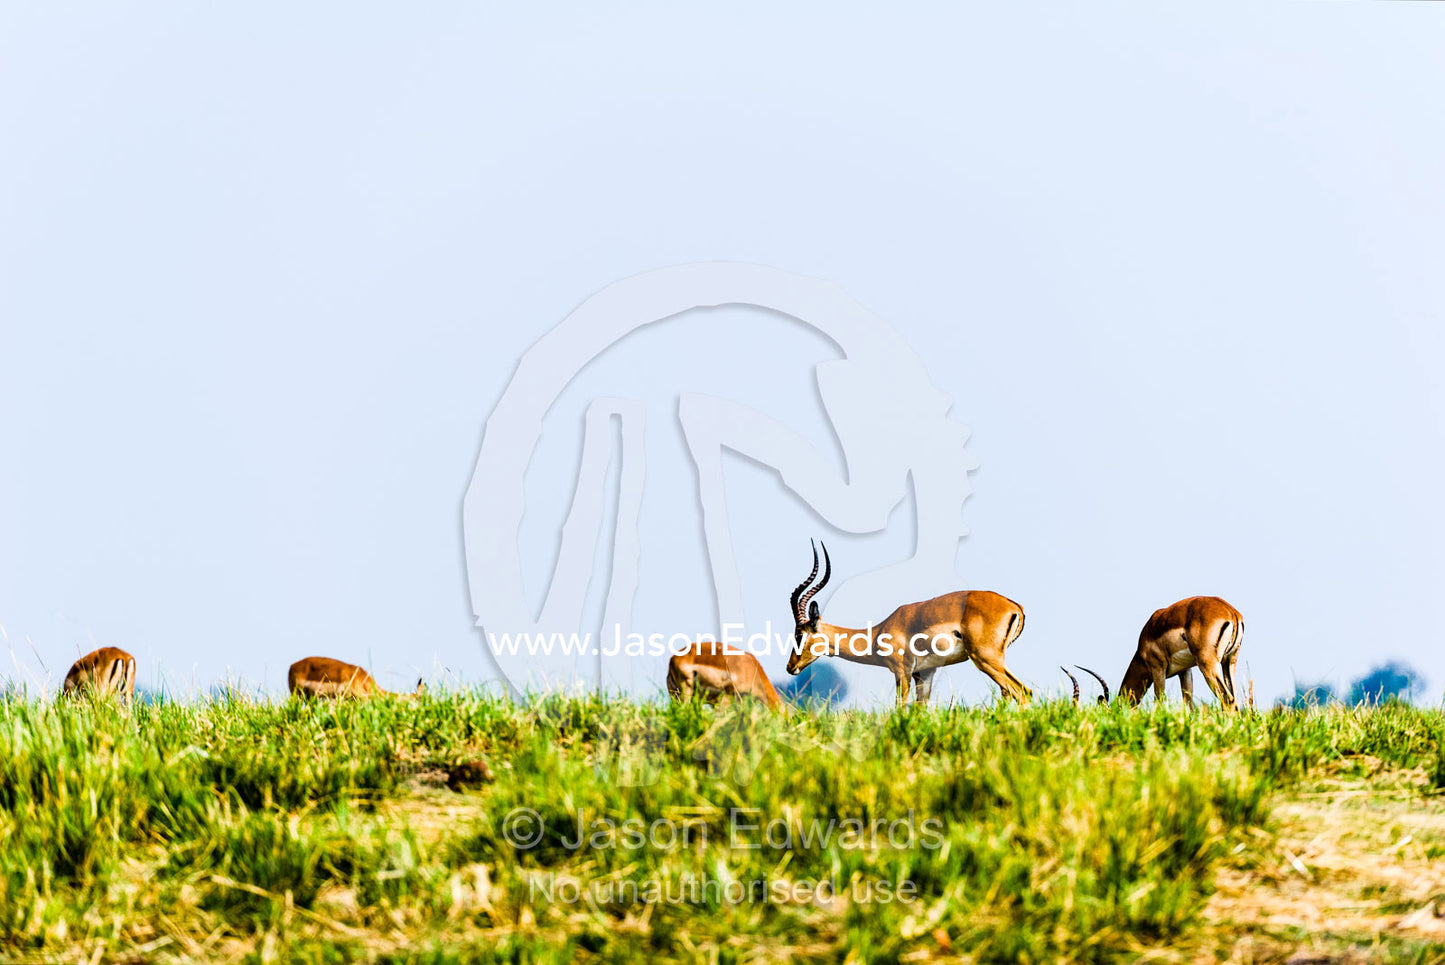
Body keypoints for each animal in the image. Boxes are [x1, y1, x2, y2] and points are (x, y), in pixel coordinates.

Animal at [784, 541, 1030, 707]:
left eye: (799, 634)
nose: (790, 667)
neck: (879, 632)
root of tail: (1014, 605)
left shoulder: (902, 672)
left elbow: (900, 709)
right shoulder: (925, 673)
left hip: (985, 658)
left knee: (1023, 693)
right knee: (1009, 693)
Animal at [1081, 596, 1244, 710]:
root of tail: (1231, 612)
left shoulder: (1158, 669)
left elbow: (1159, 701)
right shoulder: (1185, 671)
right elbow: (1188, 705)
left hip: (1208, 665)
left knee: (1228, 699)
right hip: (1229, 662)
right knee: (1235, 699)